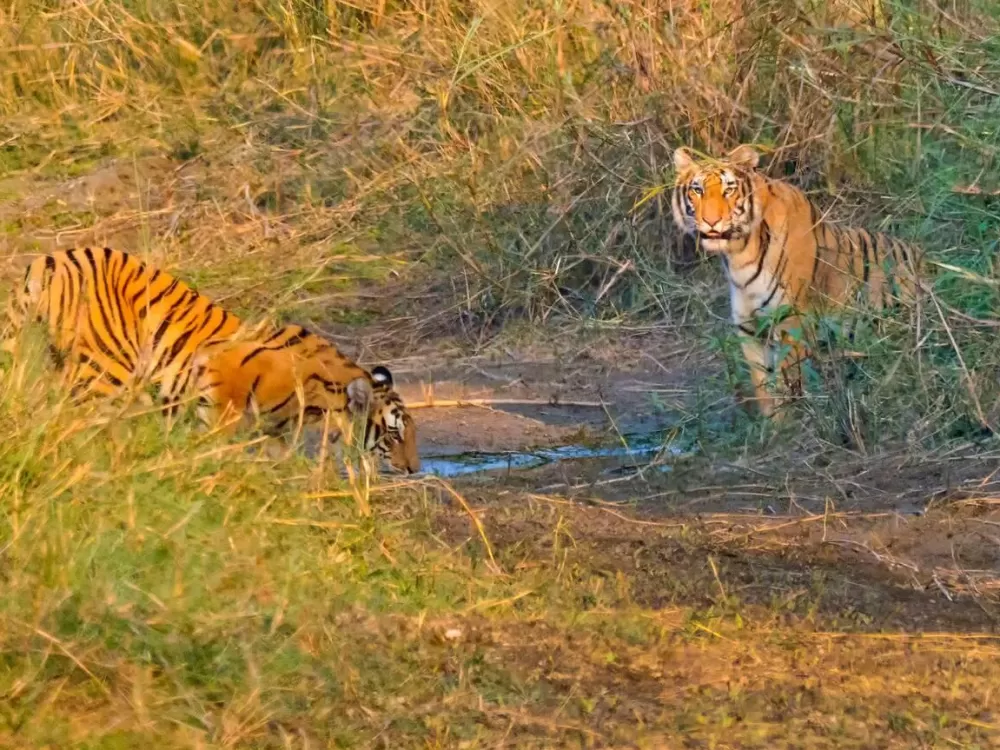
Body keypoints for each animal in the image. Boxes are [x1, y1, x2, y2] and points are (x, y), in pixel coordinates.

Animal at [671, 144, 926, 418]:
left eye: (728, 189)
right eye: (697, 190)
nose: (711, 222)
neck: (739, 255)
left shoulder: (790, 321)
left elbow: (789, 380)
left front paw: (794, 421)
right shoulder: (750, 328)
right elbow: (764, 388)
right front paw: (772, 425)